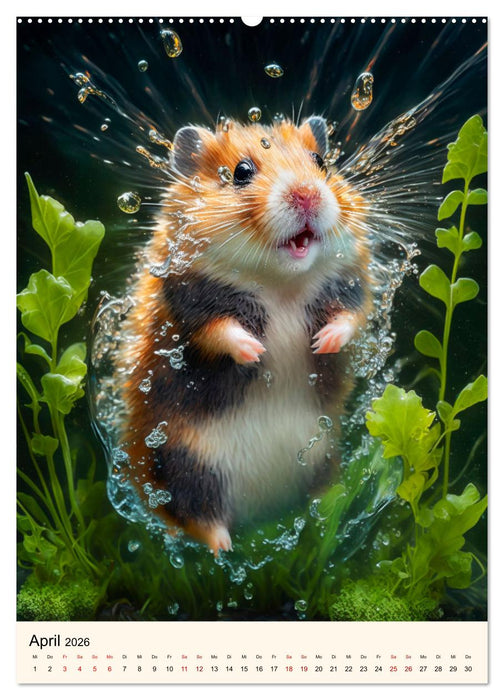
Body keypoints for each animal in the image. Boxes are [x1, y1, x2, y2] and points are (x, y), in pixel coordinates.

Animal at [114, 116, 371, 556]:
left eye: (321, 162)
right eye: (241, 172)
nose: (307, 195)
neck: (281, 283)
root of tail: (264, 514)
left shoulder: (350, 279)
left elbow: (351, 316)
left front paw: (323, 341)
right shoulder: (190, 297)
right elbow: (219, 330)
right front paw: (257, 350)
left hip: (324, 455)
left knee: (323, 496)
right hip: (189, 463)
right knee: (198, 515)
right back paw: (222, 547)